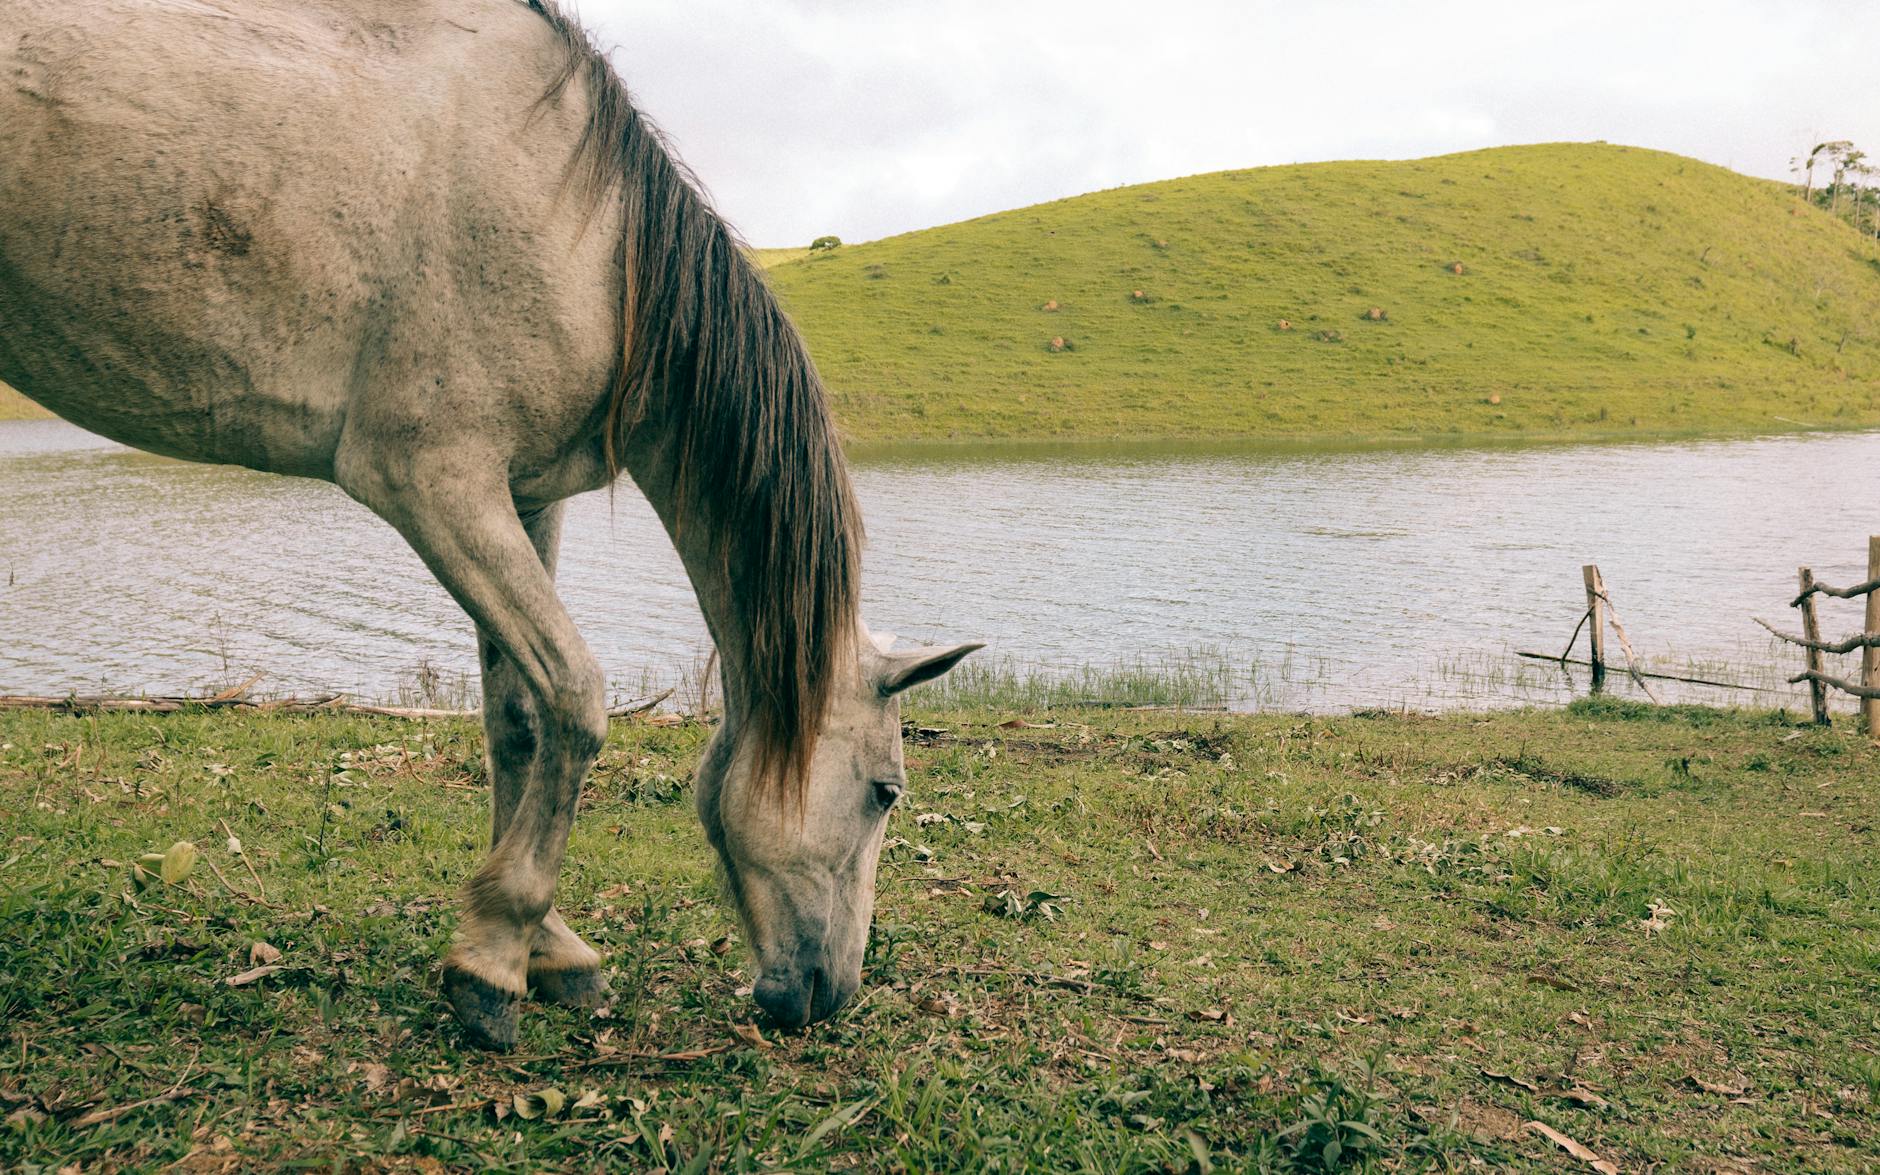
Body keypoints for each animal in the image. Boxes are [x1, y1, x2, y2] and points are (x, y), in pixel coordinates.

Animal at [0, 0, 977, 1045]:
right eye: (885, 791)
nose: (831, 994)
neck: (590, 243)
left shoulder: (523, 499)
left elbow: (517, 719)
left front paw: (544, 949)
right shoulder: (439, 488)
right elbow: (576, 702)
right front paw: (493, 961)